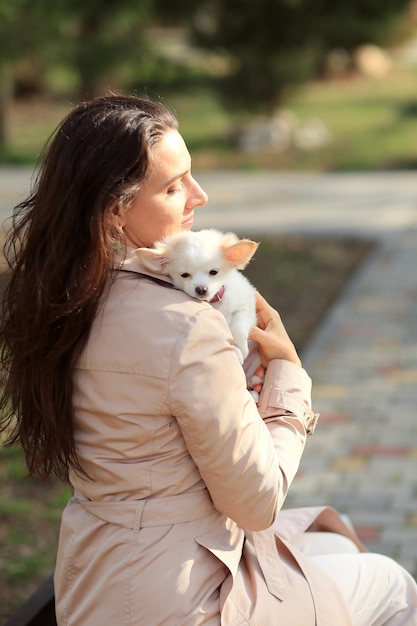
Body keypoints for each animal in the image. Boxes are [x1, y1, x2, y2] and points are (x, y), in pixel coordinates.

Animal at [136, 228, 258, 360]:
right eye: (184, 275)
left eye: (213, 272)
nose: (201, 289)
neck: (214, 302)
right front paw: (237, 352)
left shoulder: (246, 305)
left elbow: (238, 329)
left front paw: (243, 348)